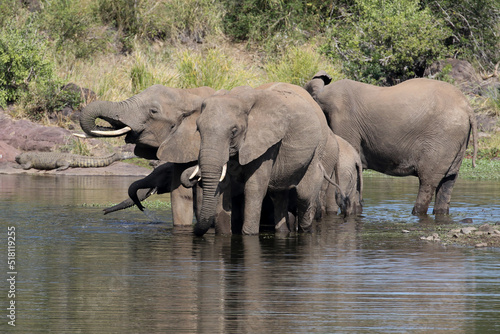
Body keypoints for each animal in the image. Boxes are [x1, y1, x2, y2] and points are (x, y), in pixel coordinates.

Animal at [181, 82, 348, 236]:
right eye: (198, 129)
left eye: (234, 131)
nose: (191, 178)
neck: (238, 96)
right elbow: (223, 185)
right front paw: (224, 235)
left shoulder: (267, 144)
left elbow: (254, 187)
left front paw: (249, 234)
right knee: (279, 195)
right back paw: (283, 231)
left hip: (319, 145)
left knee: (304, 193)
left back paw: (305, 231)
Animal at [302, 71, 478, 215]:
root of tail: (468, 108)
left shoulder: (344, 122)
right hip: (457, 141)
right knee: (448, 182)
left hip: (442, 139)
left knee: (427, 183)